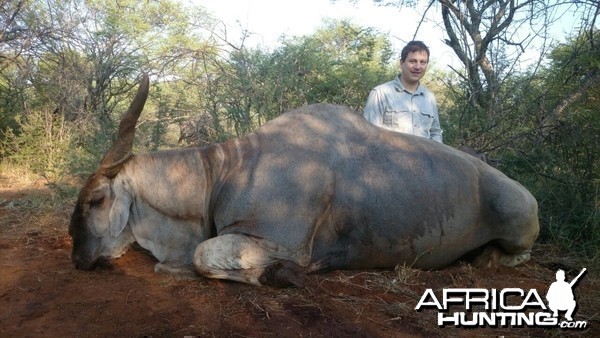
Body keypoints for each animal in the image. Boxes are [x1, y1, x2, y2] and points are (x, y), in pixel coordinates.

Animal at [69, 75, 540, 286]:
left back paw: (485, 259)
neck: (225, 171)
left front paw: (286, 275)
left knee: (518, 255)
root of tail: (527, 196)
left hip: (519, 226)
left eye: (96, 200)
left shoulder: (279, 243)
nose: (77, 258)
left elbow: (204, 256)